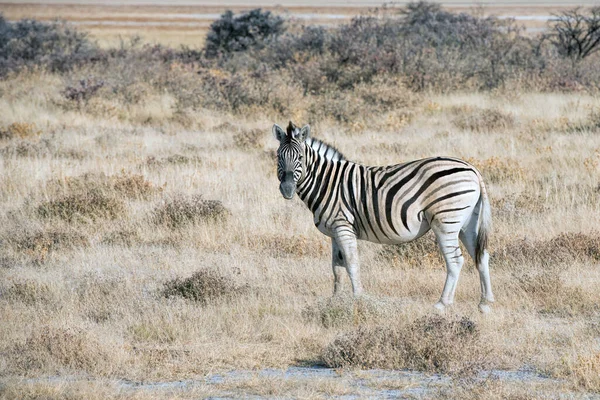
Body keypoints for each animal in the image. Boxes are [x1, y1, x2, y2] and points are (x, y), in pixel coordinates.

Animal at [274, 120, 494, 314]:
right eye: (278, 157)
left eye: (300, 157)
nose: (287, 189)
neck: (327, 182)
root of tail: (473, 169)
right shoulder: (334, 232)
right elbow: (337, 268)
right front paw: (335, 301)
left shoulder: (343, 227)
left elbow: (352, 264)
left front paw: (358, 300)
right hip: (467, 223)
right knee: (481, 256)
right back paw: (485, 304)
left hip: (446, 220)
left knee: (455, 261)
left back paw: (442, 304)